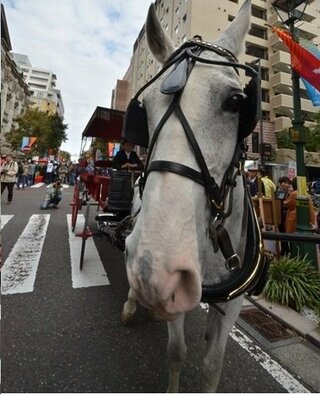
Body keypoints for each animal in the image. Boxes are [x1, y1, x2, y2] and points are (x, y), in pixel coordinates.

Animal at [120, 1, 262, 392]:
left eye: (236, 102)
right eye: (144, 108)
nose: (154, 268)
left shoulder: (233, 305)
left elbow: (213, 364)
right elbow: (176, 353)